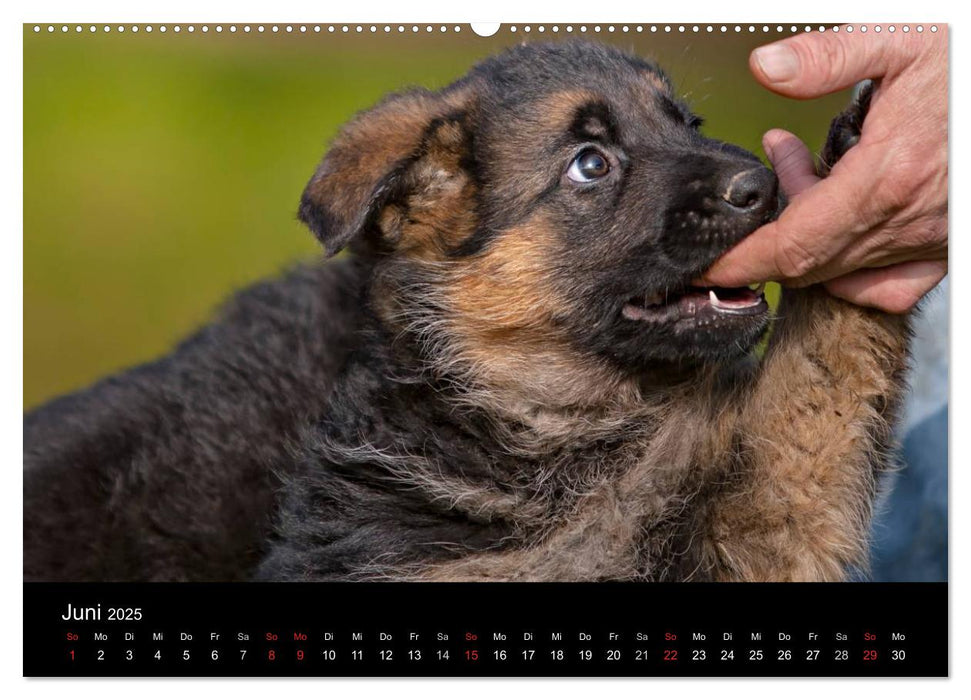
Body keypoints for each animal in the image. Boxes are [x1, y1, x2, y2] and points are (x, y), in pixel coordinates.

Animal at [20, 41, 912, 584]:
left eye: (685, 123)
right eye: (591, 163)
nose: (758, 187)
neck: (564, 422)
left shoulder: (771, 519)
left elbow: (823, 371)